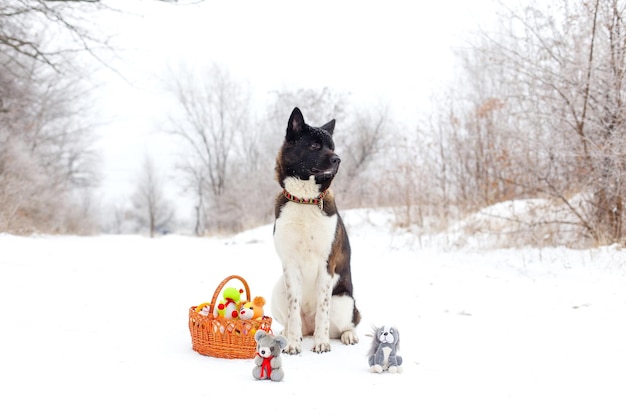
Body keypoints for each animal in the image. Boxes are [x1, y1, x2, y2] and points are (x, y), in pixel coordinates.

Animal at [270, 105, 360, 352]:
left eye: (332, 147)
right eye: (314, 146)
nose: (338, 159)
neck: (305, 201)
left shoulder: (326, 265)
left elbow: (323, 309)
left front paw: (321, 343)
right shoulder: (290, 265)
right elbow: (293, 310)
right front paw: (292, 344)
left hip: (344, 301)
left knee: (346, 325)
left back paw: (347, 336)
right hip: (277, 290)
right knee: (293, 322)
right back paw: (289, 334)